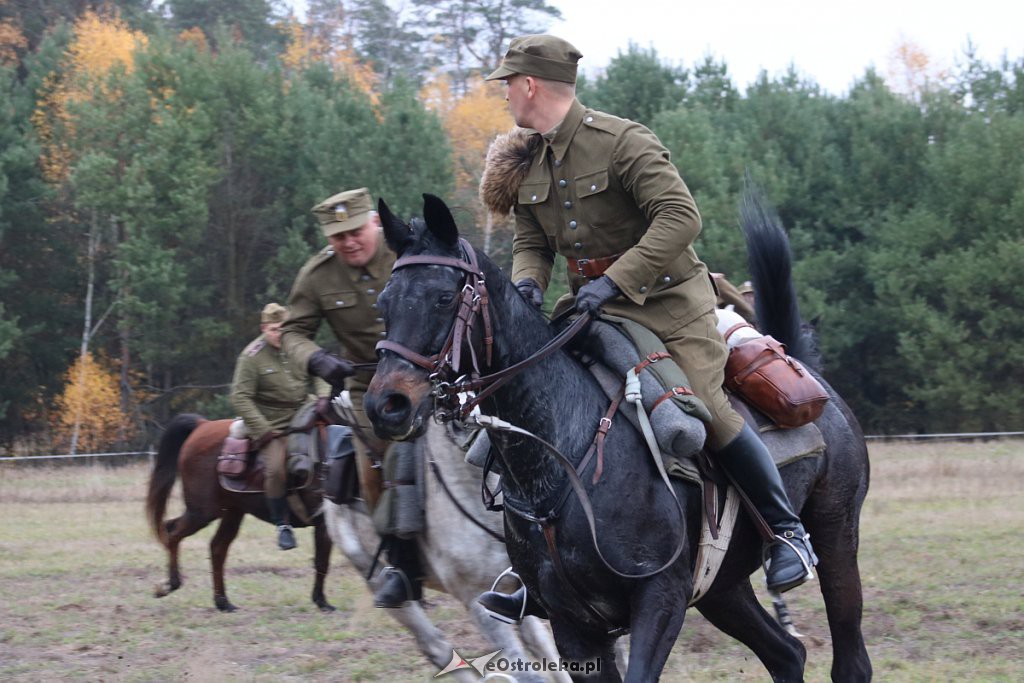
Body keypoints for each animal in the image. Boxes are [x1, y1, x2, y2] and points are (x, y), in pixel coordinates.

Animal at [147, 417, 335, 614]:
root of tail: (202, 424)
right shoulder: (325, 523)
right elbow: (322, 561)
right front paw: (322, 601)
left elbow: (323, 560)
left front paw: (321, 600)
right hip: (202, 512)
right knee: (173, 532)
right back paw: (171, 584)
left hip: (232, 511)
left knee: (216, 547)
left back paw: (222, 602)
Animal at [364, 193, 868, 683]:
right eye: (384, 302)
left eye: (443, 297)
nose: (387, 405)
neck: (564, 456)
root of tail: (814, 380)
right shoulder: (574, 626)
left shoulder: (659, 598)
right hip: (722, 589)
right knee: (787, 655)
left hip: (836, 538)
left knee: (850, 661)